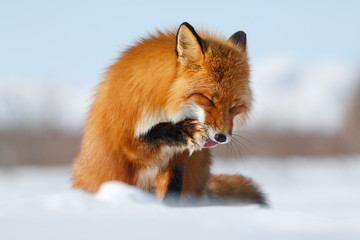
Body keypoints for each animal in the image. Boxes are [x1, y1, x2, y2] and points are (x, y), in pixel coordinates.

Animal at [71, 22, 266, 204]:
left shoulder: (177, 159)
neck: (164, 106)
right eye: (208, 99)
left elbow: (171, 190)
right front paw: (181, 130)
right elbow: (151, 135)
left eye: (235, 107)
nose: (221, 137)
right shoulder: (125, 141)